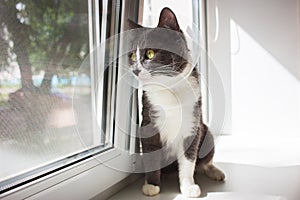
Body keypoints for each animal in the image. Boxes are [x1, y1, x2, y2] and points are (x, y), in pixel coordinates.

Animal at [125, 7, 224, 197]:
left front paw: (188, 186)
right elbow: (151, 156)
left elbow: (188, 161)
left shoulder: (192, 123)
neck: (169, 90)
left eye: (150, 53)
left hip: (206, 133)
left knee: (205, 162)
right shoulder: (149, 123)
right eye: (132, 56)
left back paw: (216, 172)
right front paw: (152, 185)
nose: (135, 70)